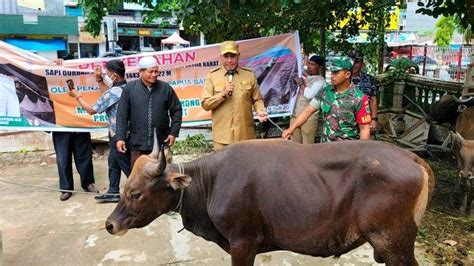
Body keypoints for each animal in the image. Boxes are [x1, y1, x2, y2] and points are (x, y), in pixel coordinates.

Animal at [105, 138, 436, 264]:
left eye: (136, 193)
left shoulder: (243, 242)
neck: (210, 181)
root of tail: (413, 158)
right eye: (125, 187)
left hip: (394, 246)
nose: (110, 225)